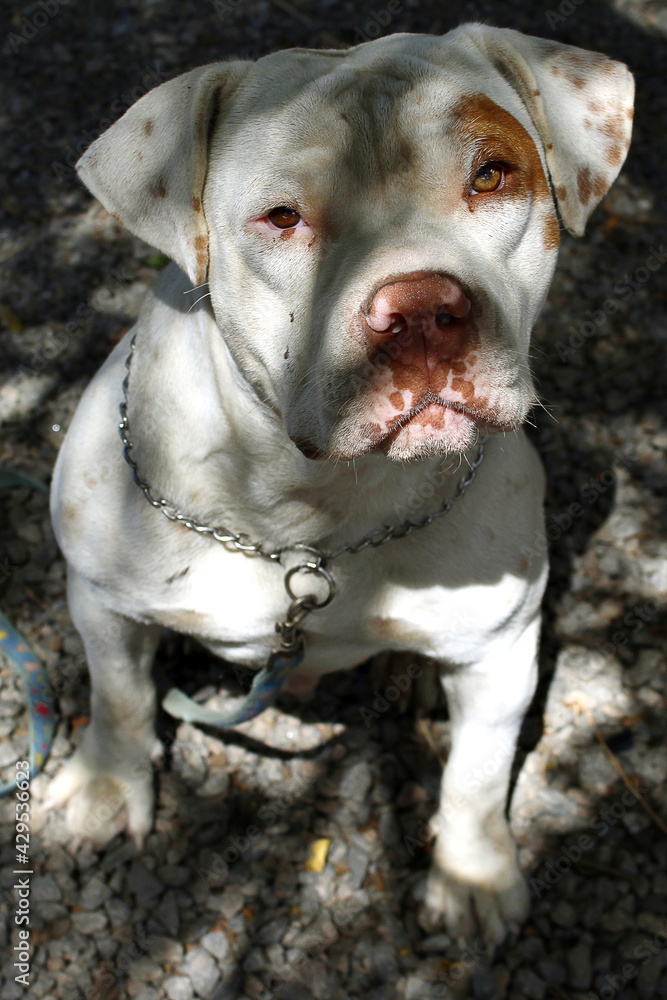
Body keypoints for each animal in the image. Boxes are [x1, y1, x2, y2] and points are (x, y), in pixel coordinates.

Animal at [49, 25, 636, 944]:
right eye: (283, 217)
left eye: (491, 177)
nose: (425, 311)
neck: (307, 512)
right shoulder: (103, 600)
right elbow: (117, 696)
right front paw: (110, 785)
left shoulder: (503, 652)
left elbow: (478, 770)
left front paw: (472, 874)